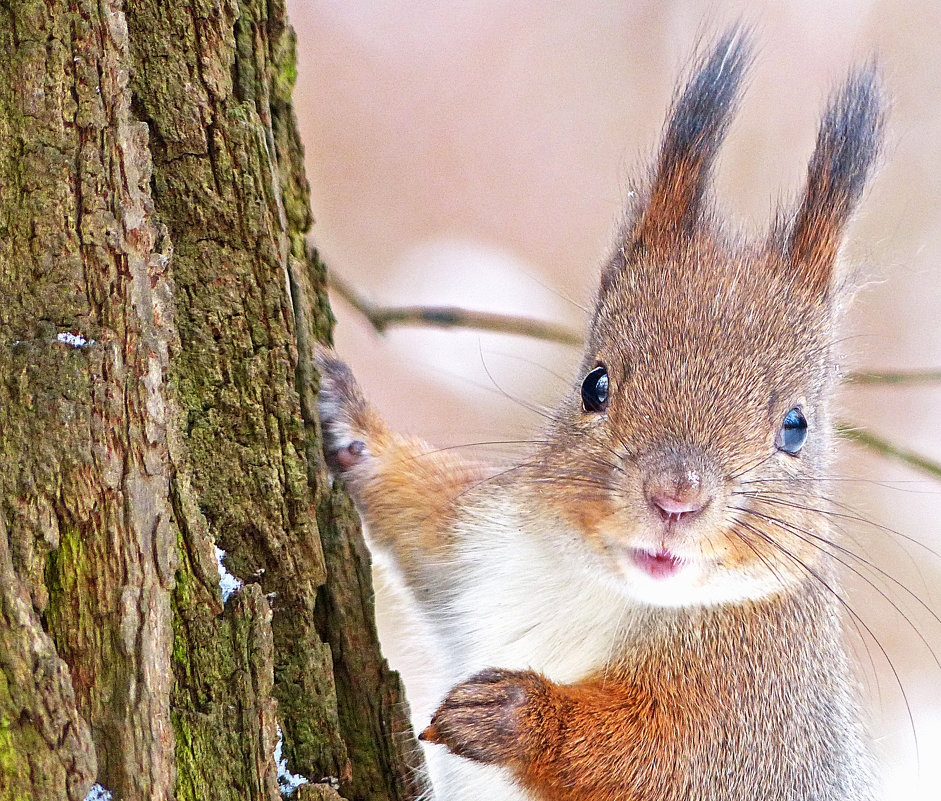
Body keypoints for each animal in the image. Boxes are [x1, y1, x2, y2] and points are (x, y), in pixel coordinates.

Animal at [318, 28, 888, 800]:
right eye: (594, 384)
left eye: (795, 428)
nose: (674, 498)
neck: (604, 584)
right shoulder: (483, 542)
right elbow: (424, 519)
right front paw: (348, 423)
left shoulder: (753, 725)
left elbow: (652, 762)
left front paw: (518, 715)